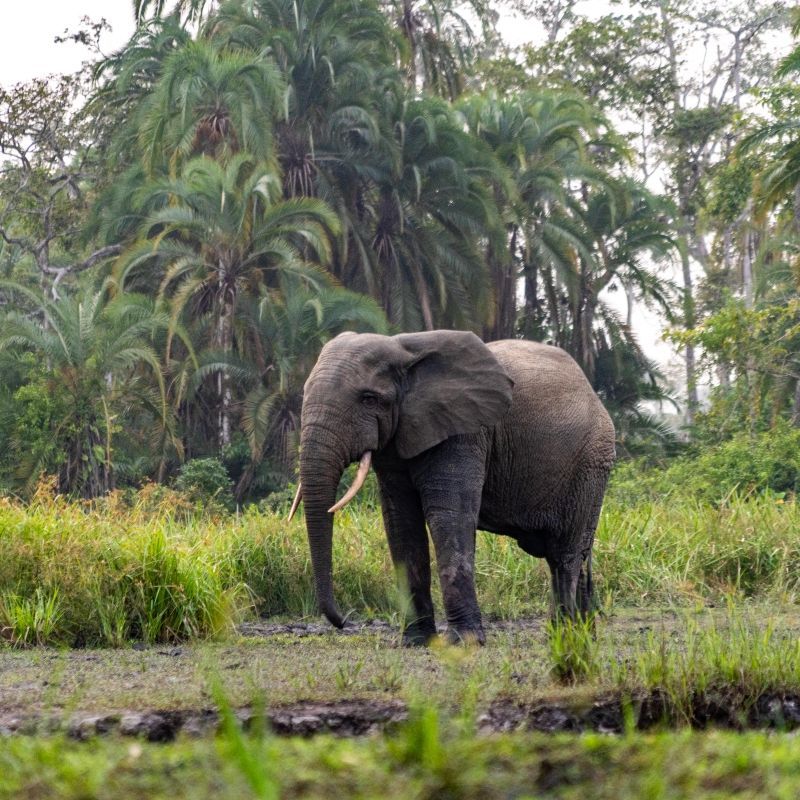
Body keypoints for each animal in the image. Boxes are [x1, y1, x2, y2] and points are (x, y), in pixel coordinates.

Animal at [289, 329, 615, 645]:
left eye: (368, 399)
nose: (344, 622)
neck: (404, 350)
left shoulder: (464, 433)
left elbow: (449, 518)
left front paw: (464, 642)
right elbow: (401, 524)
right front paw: (415, 641)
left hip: (591, 464)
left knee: (565, 556)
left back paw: (565, 638)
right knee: (572, 555)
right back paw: (580, 637)